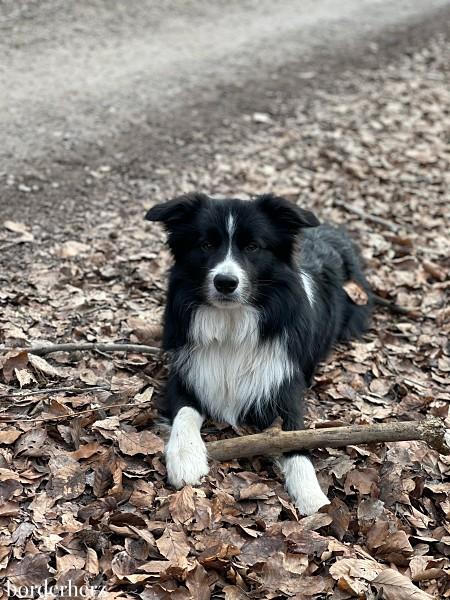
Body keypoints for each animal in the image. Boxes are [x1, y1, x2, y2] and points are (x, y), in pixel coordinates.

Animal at [145, 192, 372, 516]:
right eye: (206, 244)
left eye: (253, 246)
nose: (225, 282)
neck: (232, 325)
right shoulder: (185, 374)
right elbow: (185, 412)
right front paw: (185, 458)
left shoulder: (283, 386)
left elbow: (295, 441)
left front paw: (314, 499)